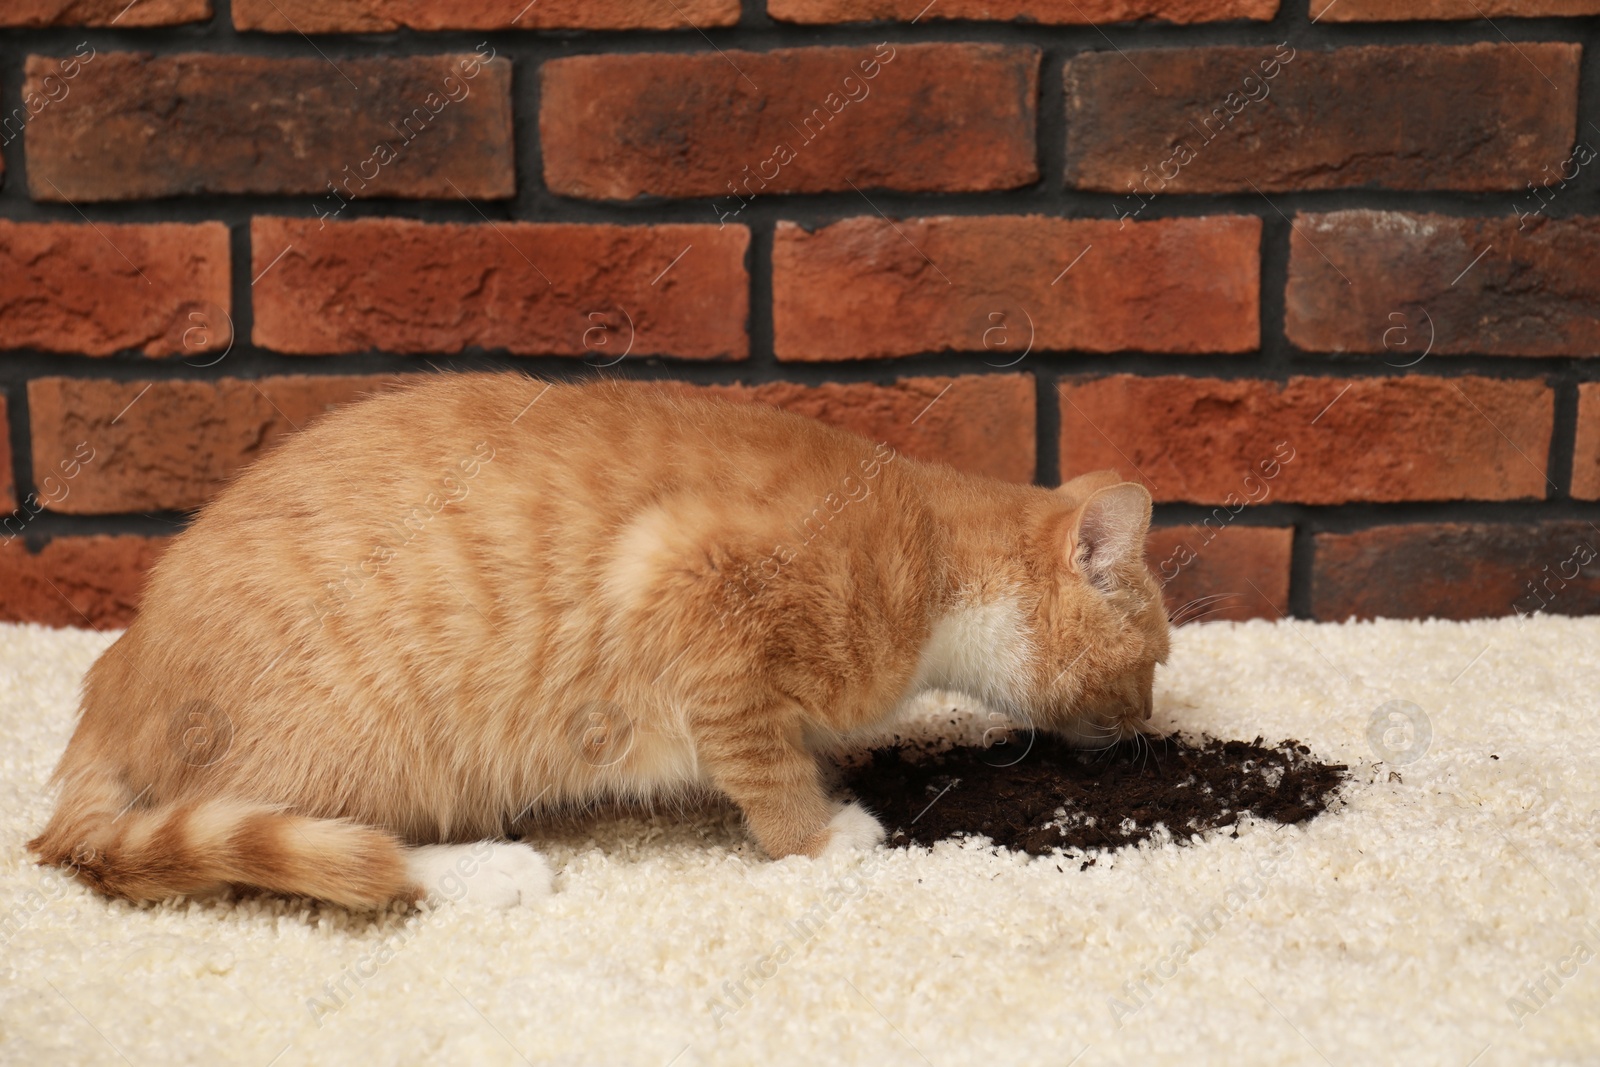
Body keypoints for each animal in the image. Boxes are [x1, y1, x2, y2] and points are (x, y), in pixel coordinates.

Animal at [28, 375, 1177, 908]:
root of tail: (115, 675)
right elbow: (761, 762)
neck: (932, 551)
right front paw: (817, 835)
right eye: (1156, 662)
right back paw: (478, 869)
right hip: (358, 746)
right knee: (318, 852)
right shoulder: (694, 591)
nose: (1146, 726)